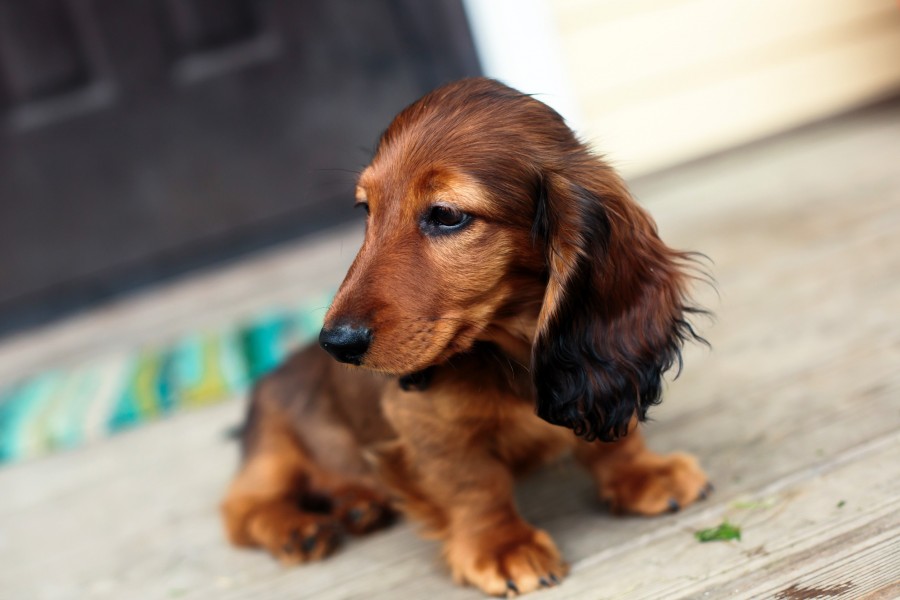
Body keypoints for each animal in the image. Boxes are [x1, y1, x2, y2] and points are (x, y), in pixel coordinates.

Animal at [220, 78, 712, 596]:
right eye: (365, 209)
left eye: (446, 215)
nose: (336, 343)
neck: (511, 349)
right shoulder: (426, 422)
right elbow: (473, 483)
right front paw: (502, 546)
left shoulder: (593, 373)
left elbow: (613, 434)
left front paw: (644, 473)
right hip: (273, 449)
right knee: (241, 509)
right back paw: (297, 527)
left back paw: (357, 505)